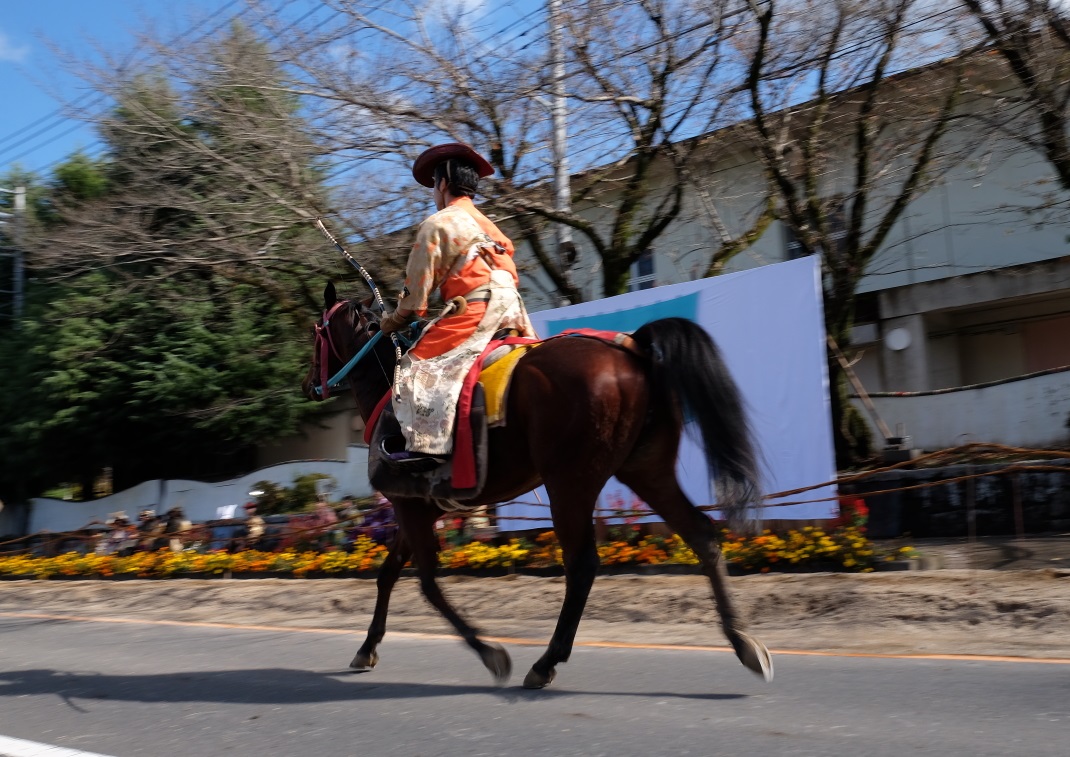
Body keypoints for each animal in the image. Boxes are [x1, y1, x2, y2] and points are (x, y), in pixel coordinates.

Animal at [301, 282, 770, 685]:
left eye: (316, 334)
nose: (308, 385)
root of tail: (632, 348)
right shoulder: (414, 508)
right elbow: (388, 575)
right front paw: (367, 647)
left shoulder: (410, 508)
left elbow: (428, 583)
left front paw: (489, 652)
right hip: (646, 471)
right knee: (701, 534)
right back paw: (743, 642)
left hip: (570, 482)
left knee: (582, 565)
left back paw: (547, 661)